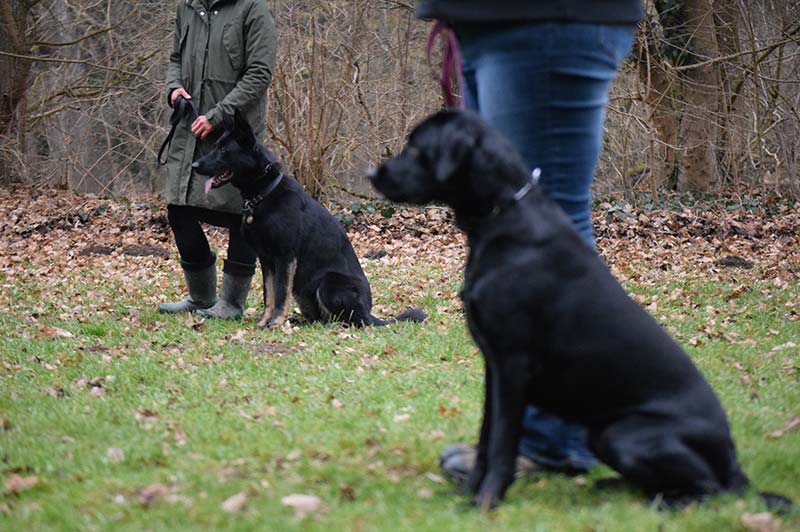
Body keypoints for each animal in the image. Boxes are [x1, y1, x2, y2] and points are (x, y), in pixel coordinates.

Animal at [191, 109, 428, 328]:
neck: (264, 193)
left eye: (223, 150)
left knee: (349, 320)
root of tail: (370, 313)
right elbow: (269, 295)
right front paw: (264, 322)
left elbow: (280, 294)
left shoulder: (285, 258)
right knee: (321, 317)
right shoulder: (266, 260)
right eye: (215, 146)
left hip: (328, 282)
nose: (194, 166)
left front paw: (275, 323)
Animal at [370, 109, 792, 512]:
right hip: (601, 434)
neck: (503, 216)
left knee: (714, 492)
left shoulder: (513, 366)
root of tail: (735, 464)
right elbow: (486, 440)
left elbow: (502, 445)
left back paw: (666, 505)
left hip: (625, 434)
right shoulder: (494, 367)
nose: (371, 173)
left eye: (416, 147)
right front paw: (468, 494)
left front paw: (486, 503)